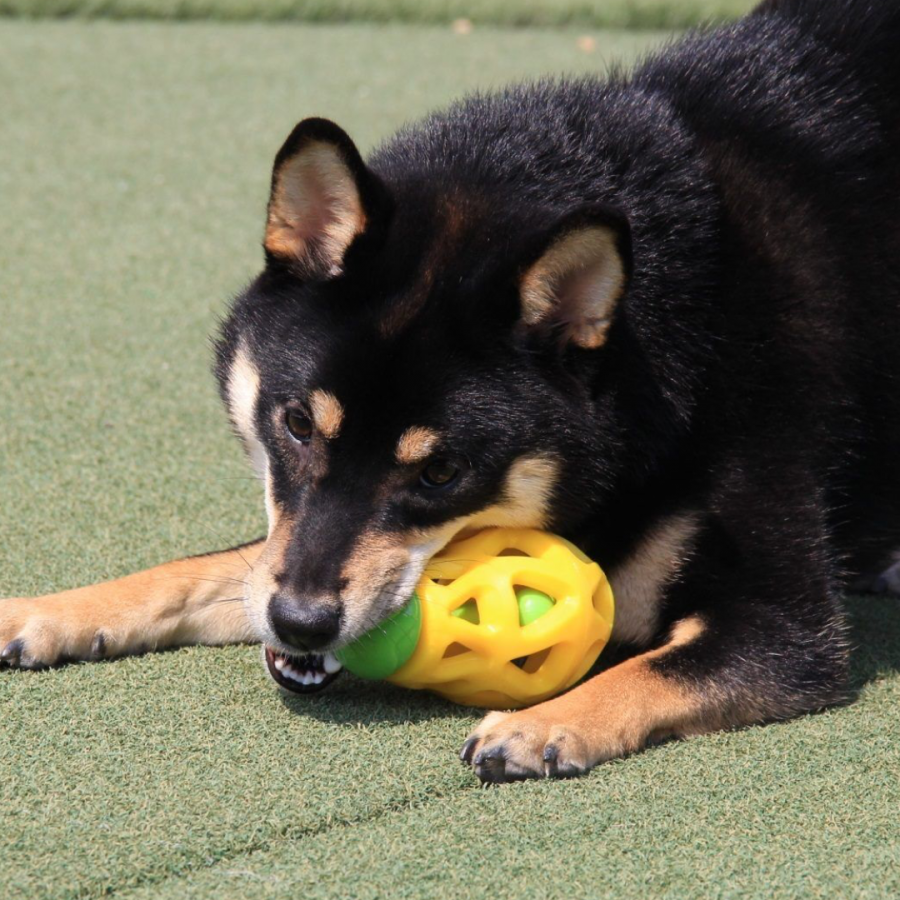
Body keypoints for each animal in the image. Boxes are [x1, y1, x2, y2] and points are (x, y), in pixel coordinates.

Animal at [1, 0, 900, 780]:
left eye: (440, 473)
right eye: (296, 425)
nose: (300, 623)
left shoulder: (787, 624)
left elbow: (659, 667)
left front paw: (544, 723)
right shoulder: (282, 551)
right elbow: (199, 569)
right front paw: (49, 612)